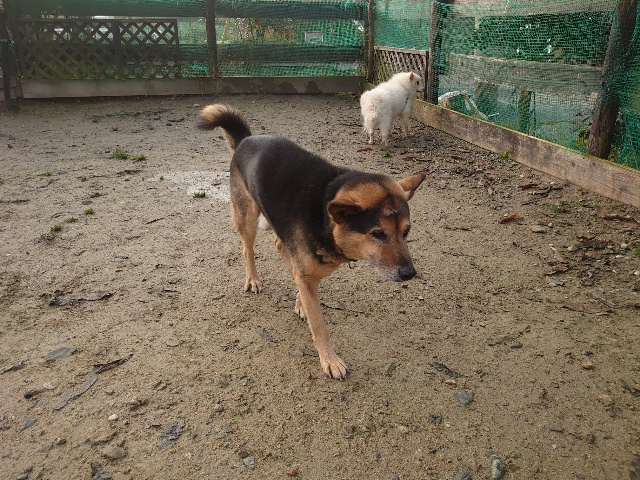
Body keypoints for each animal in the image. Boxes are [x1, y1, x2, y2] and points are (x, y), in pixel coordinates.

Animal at [199, 104, 426, 379]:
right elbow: (319, 325)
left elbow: (302, 282)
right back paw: (252, 279)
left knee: (279, 247)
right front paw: (330, 360)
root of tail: (247, 139)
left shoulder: (306, 269)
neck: (324, 211)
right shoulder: (306, 272)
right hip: (247, 216)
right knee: (247, 249)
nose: (409, 274)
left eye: (406, 232)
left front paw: (300, 303)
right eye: (378, 234)